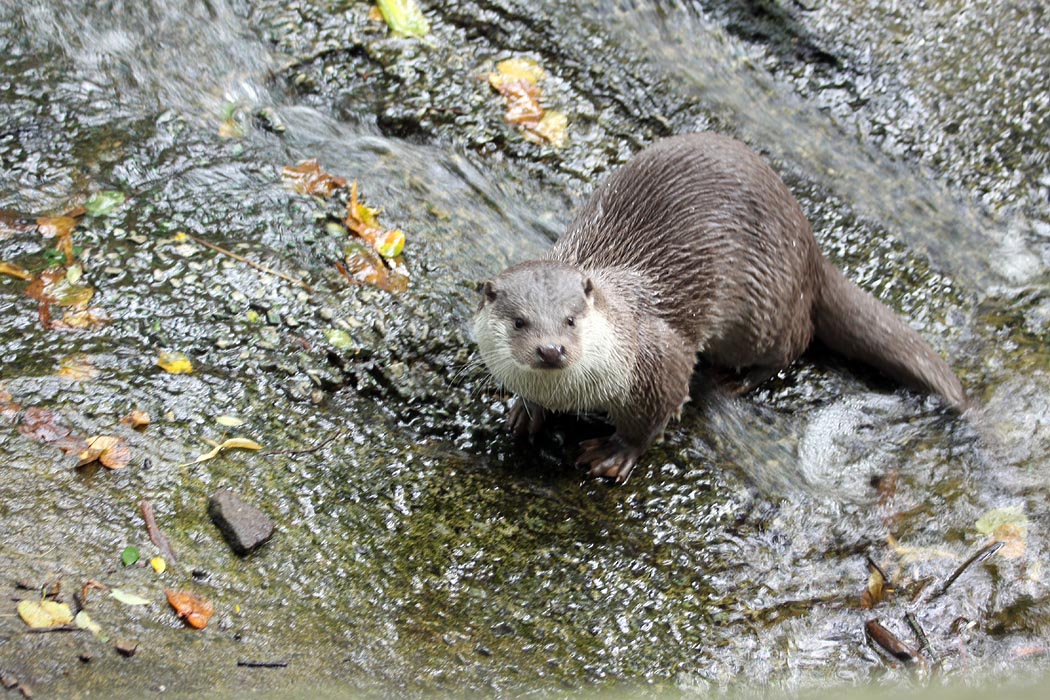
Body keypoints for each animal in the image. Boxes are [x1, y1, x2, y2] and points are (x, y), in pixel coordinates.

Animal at [474, 133, 967, 483]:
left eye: (571, 319)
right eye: (520, 322)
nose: (551, 349)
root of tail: (809, 246)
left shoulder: (657, 359)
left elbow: (653, 417)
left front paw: (614, 453)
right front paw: (526, 412)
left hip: (762, 308)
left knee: (795, 340)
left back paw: (737, 380)